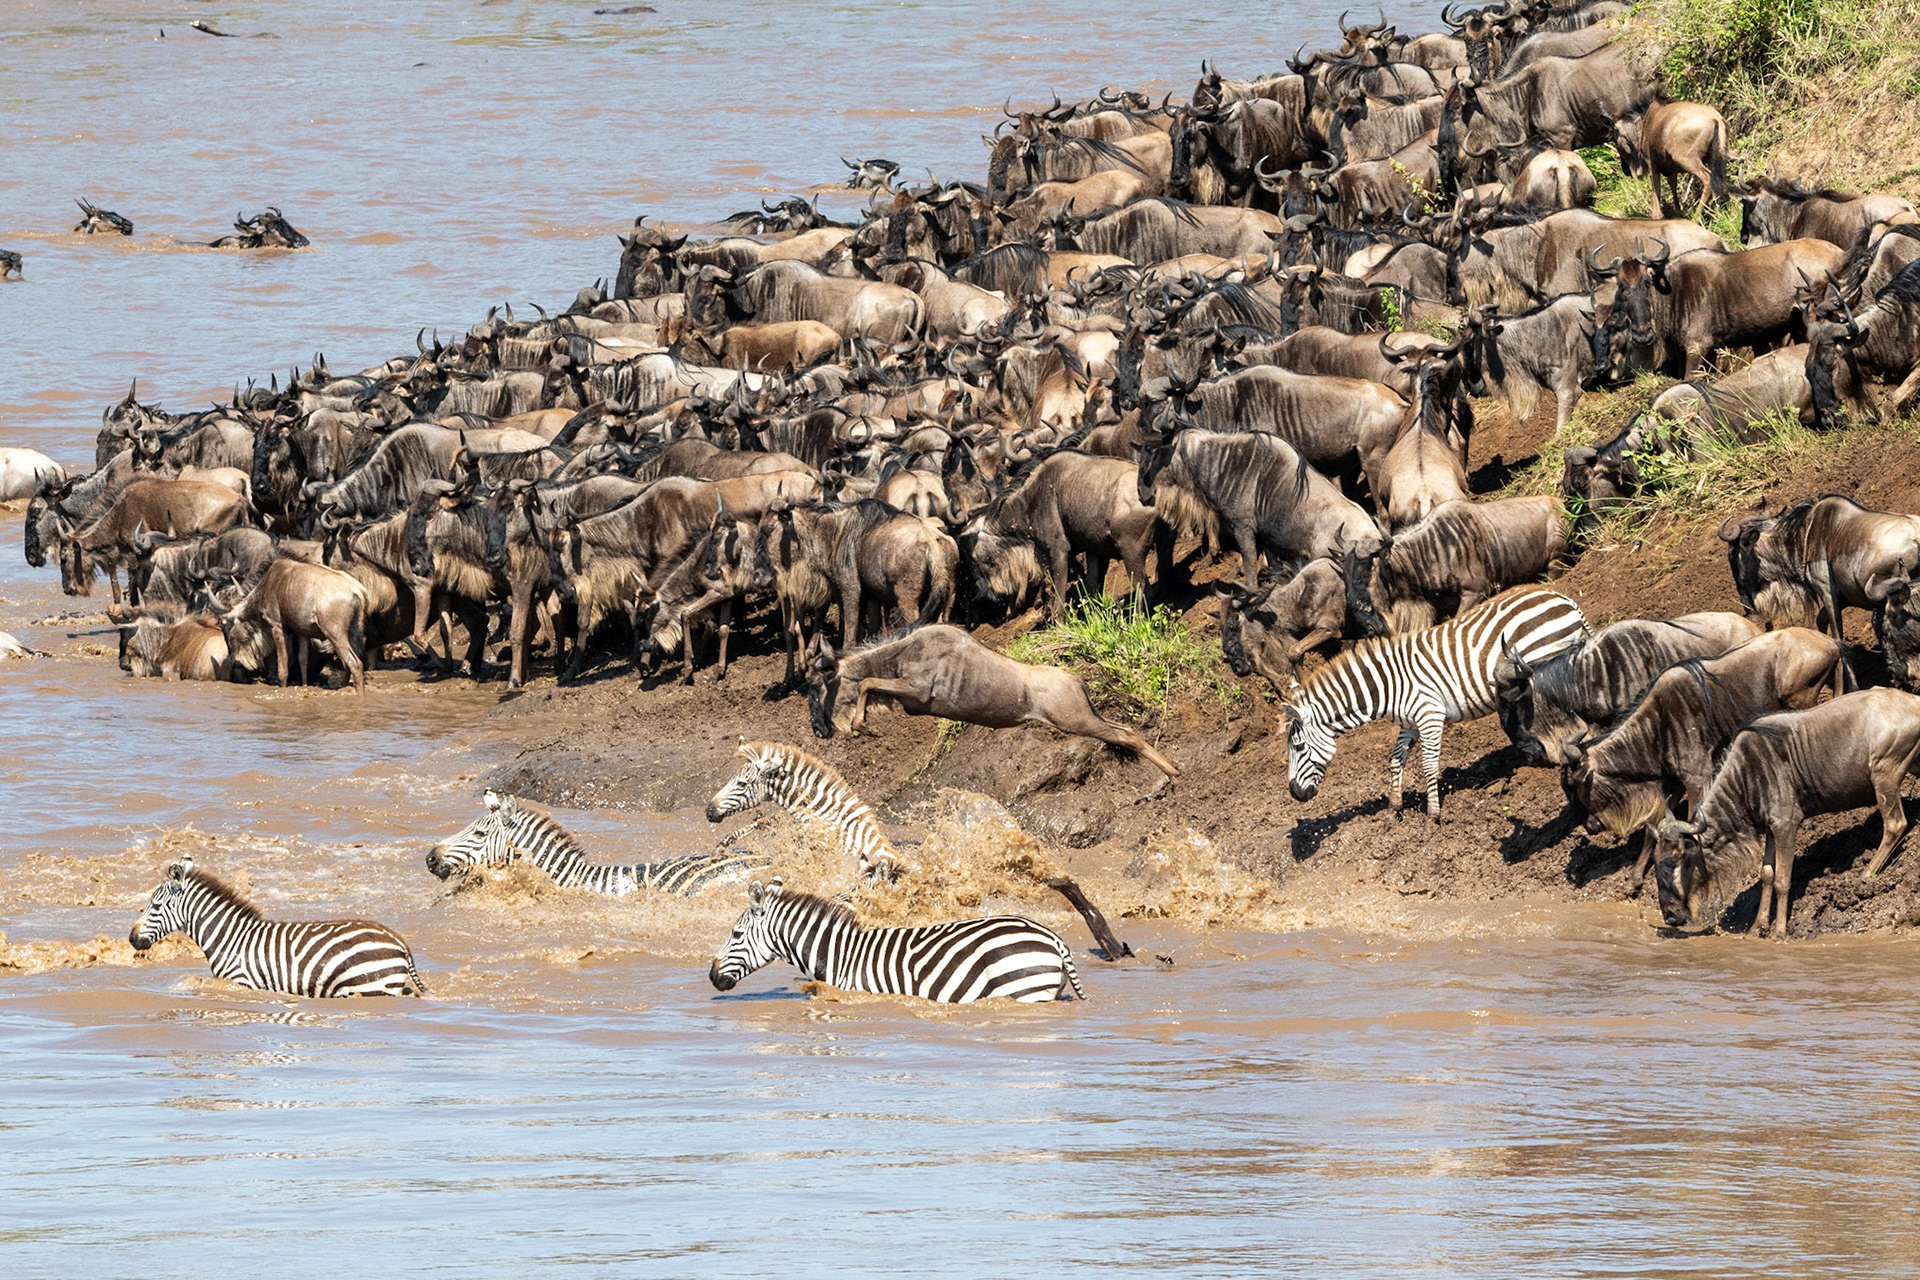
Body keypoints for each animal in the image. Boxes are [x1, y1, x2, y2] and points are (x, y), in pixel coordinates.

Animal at [129, 856, 426, 997]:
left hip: (371, 987)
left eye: (155, 906)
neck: (230, 939)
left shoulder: (243, 982)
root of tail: (398, 941)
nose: (131, 939)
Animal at [1284, 585, 1590, 819]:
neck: (1387, 686)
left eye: (1298, 747)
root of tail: (1562, 598)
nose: (1295, 795)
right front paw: (1394, 809)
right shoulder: (1409, 723)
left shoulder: (1429, 716)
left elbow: (1429, 765)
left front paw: (1433, 814)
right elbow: (1395, 760)